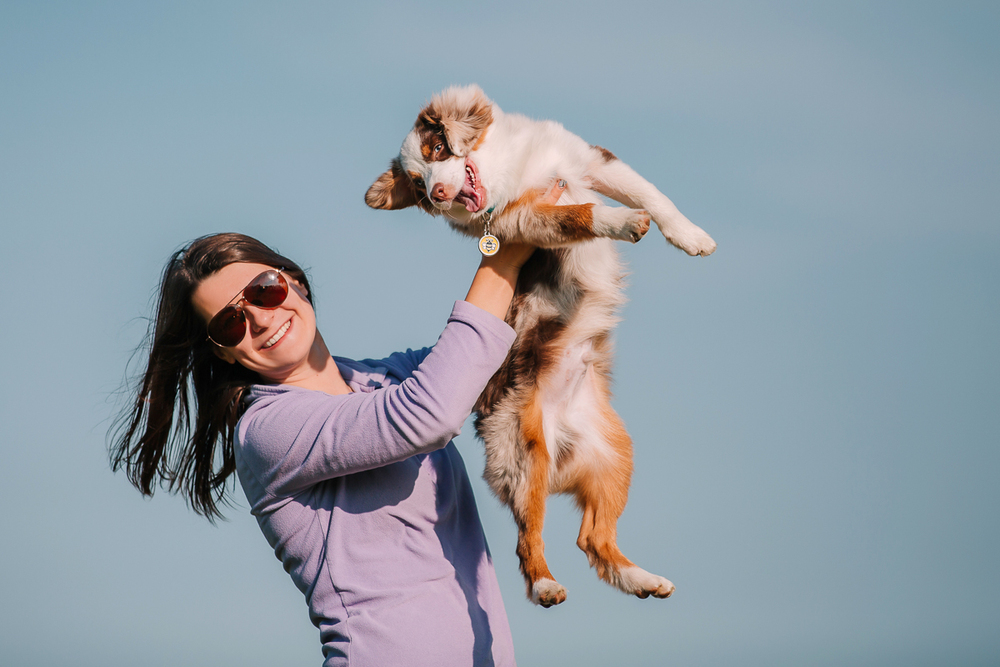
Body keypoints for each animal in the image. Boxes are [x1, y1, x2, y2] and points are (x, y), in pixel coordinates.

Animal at [364, 86, 716, 608]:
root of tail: (561, 444)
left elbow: (654, 195)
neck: (513, 171)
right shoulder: (520, 221)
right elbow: (577, 213)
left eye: (437, 150)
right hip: (524, 453)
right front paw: (620, 220)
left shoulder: (592, 161)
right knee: (529, 537)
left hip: (616, 456)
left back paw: (642, 579)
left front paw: (691, 237)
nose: (438, 195)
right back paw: (546, 583)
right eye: (418, 185)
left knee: (593, 538)